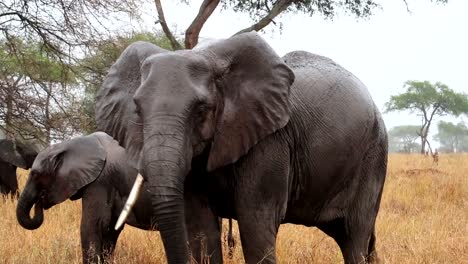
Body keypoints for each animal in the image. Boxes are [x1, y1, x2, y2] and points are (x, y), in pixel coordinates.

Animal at [95, 31, 388, 264]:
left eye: (201, 109)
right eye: (137, 109)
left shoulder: (270, 140)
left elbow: (255, 222)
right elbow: (201, 227)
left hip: (373, 155)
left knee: (354, 236)